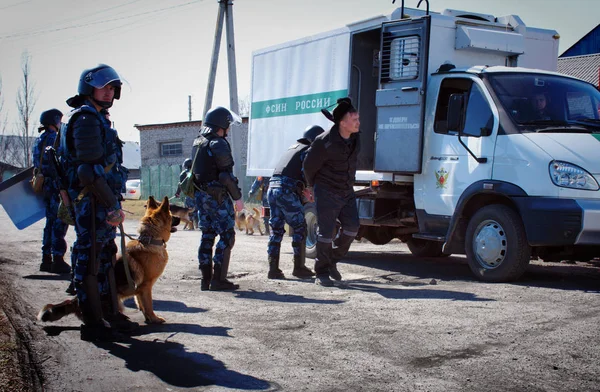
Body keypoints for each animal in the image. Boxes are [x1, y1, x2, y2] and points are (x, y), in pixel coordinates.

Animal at [38, 195, 175, 324]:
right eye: (172, 216)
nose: (179, 218)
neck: (150, 240)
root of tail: (75, 300)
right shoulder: (146, 286)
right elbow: (149, 305)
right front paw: (154, 318)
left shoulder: (140, 289)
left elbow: (140, 303)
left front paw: (148, 317)